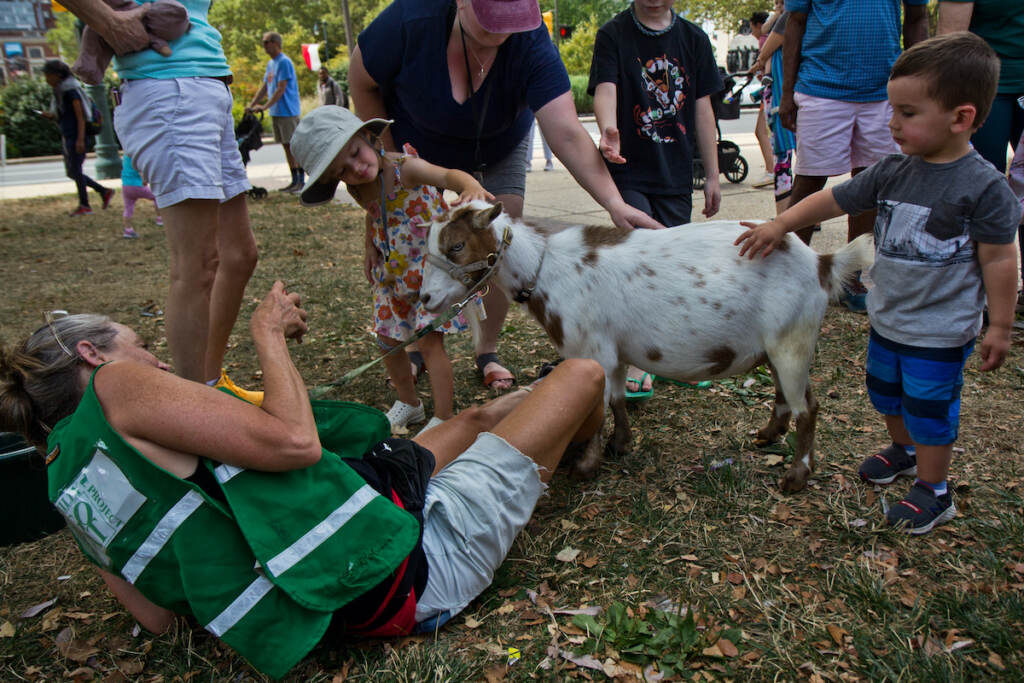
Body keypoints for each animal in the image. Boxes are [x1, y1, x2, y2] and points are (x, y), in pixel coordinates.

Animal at [415, 202, 872, 491]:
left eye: (456, 246)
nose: (425, 299)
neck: (545, 268)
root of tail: (821, 263)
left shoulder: (591, 349)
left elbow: (599, 406)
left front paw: (587, 466)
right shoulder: (612, 351)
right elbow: (617, 399)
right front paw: (620, 445)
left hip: (792, 339)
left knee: (807, 406)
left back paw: (795, 478)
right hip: (779, 345)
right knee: (784, 395)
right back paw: (766, 435)